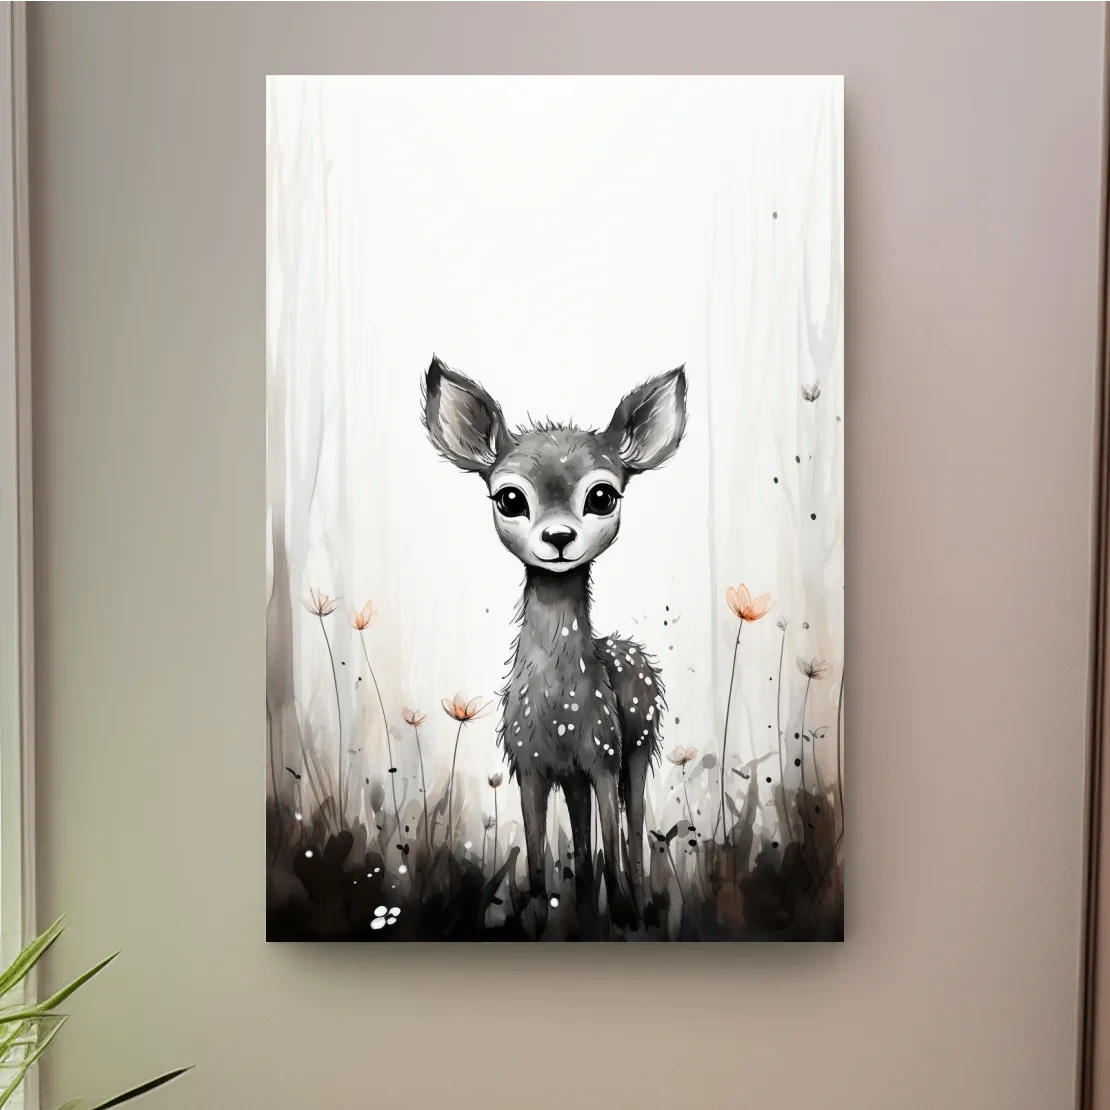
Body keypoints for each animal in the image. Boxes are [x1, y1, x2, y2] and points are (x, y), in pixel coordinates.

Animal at [422, 355, 688, 935]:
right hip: (577, 776)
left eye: (603, 495)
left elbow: (613, 843)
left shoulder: (604, 754)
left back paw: (635, 909)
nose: (559, 538)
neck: (560, 711)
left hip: (637, 745)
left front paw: (623, 915)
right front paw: (540, 918)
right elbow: (541, 860)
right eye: (510, 497)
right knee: (584, 846)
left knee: (632, 835)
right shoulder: (530, 764)